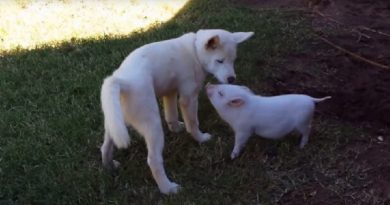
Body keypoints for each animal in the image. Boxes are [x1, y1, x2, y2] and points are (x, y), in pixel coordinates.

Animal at [99, 28, 254, 194]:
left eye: (233, 60)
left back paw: (109, 166)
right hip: (152, 125)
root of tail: (123, 82)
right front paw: (200, 138)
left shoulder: (170, 92)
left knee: (105, 146)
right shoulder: (188, 97)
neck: (194, 51)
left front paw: (176, 128)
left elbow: (171, 114)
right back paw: (168, 188)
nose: (232, 79)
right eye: (220, 61)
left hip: (114, 123)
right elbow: (193, 122)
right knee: (153, 160)